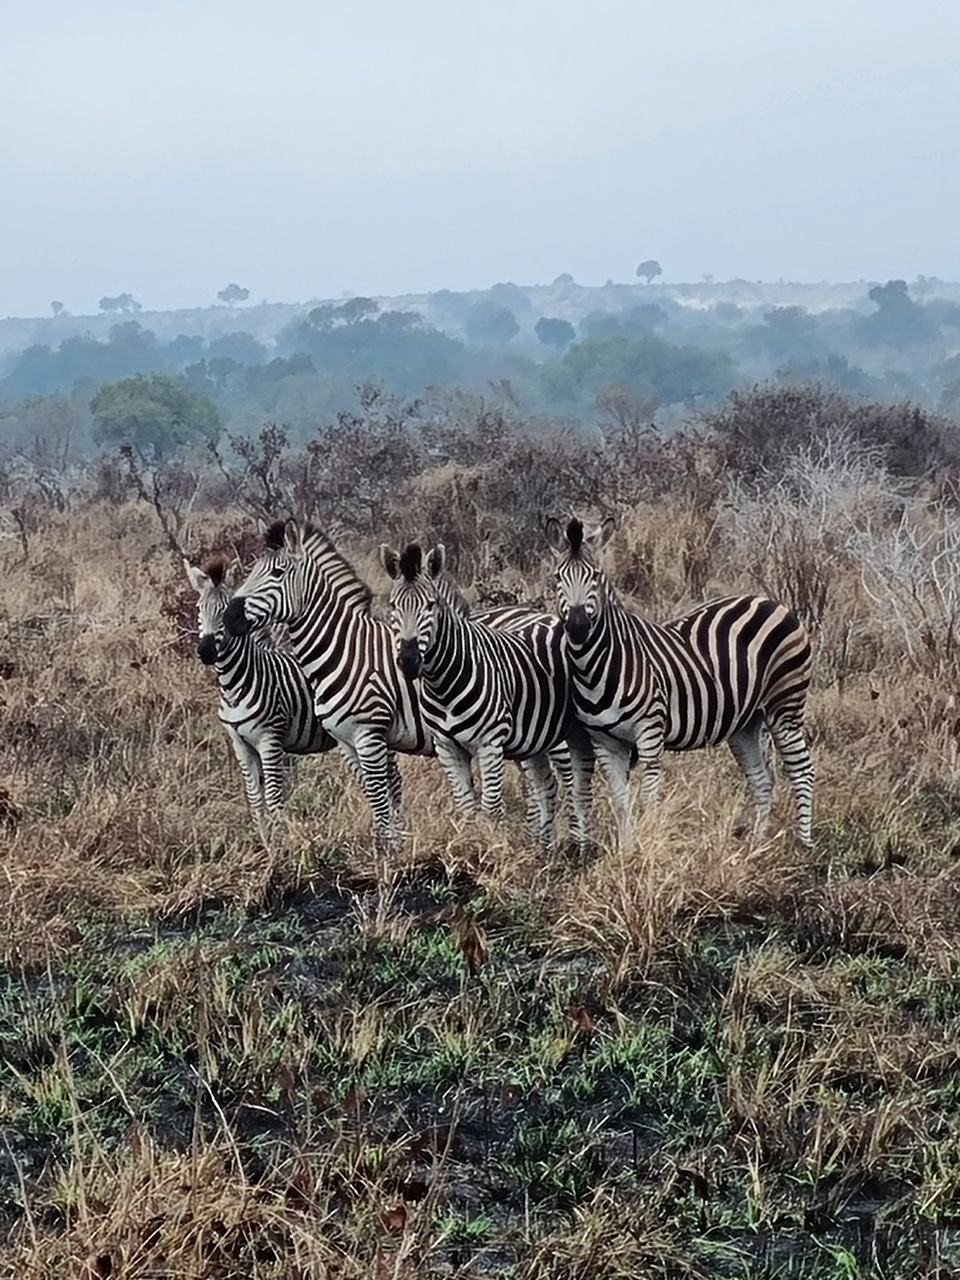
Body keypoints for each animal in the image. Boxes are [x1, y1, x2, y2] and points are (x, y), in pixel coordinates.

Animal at [183, 555, 336, 846]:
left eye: (225, 611)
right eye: (199, 609)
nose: (205, 652)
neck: (234, 684)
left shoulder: (269, 741)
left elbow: (274, 799)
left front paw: (281, 848)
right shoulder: (240, 745)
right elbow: (255, 799)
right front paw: (265, 844)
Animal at [379, 542, 594, 853]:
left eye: (430, 605)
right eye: (394, 606)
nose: (408, 661)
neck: (443, 683)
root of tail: (553, 619)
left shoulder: (489, 742)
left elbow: (491, 807)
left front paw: (493, 851)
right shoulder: (447, 746)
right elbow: (466, 806)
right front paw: (469, 848)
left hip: (559, 735)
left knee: (571, 781)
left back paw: (579, 844)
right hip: (534, 738)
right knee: (546, 784)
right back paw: (544, 848)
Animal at [545, 517, 814, 849]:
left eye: (595, 576)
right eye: (558, 577)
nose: (578, 627)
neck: (596, 667)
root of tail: (773, 602)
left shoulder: (649, 731)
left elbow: (648, 798)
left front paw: (647, 844)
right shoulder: (605, 742)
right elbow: (620, 801)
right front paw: (627, 850)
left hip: (785, 706)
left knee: (802, 771)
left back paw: (804, 844)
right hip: (746, 722)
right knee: (762, 780)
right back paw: (757, 844)